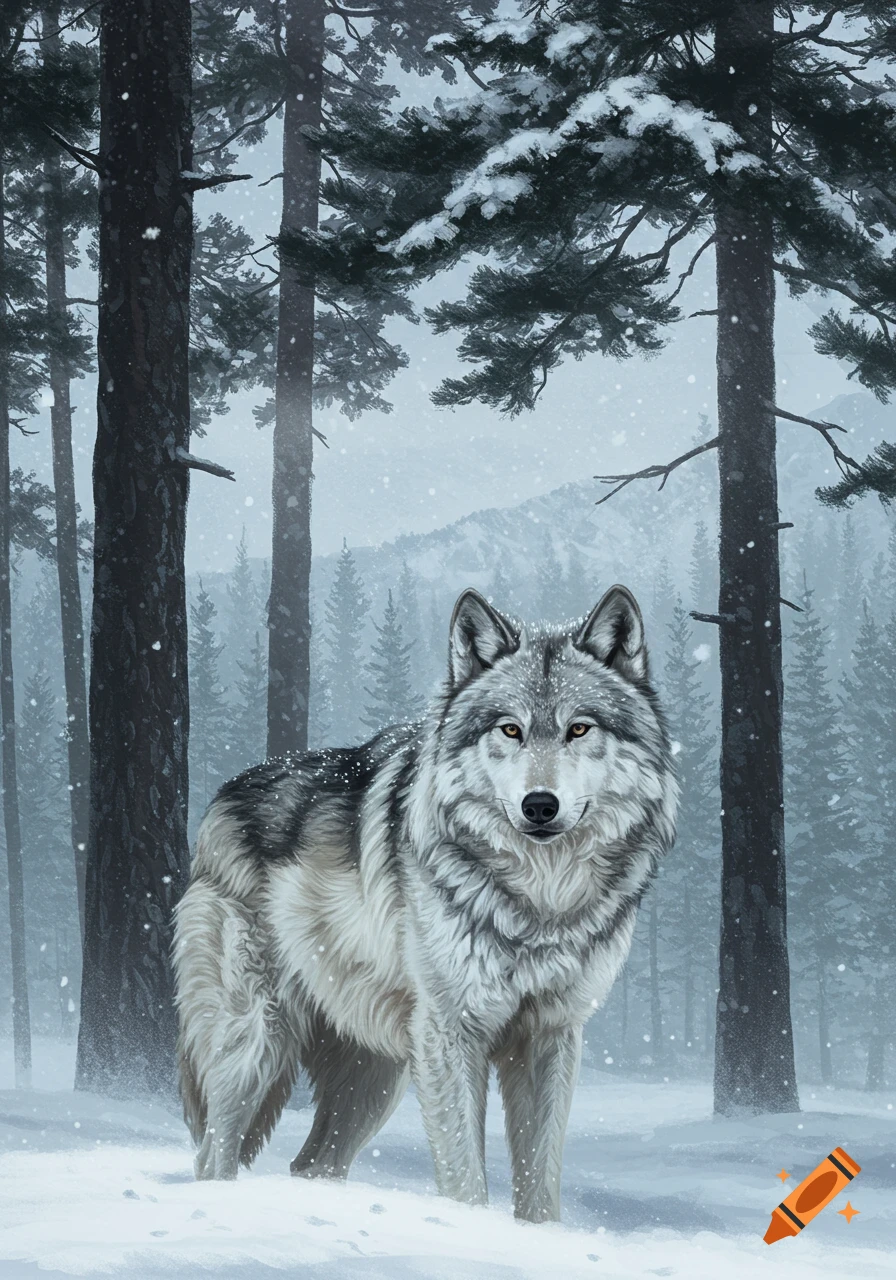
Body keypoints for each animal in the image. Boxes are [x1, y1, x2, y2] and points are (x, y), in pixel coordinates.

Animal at [173, 585, 677, 1222]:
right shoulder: (450, 1032)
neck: (540, 902)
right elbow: (465, 1177)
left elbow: (540, 1183)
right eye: (509, 730)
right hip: (256, 1044)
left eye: (580, 729)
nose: (539, 805)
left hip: (373, 1075)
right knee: (212, 1155)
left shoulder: (551, 1035)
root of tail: (221, 798)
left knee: (311, 1163)